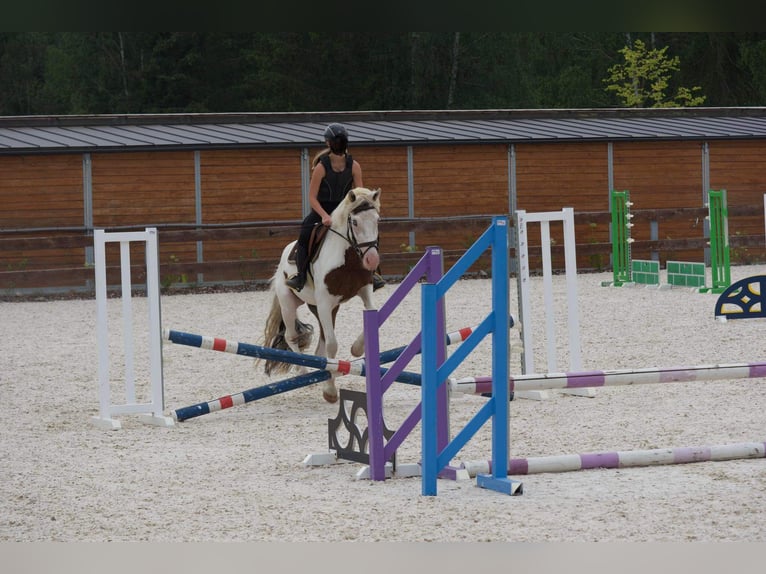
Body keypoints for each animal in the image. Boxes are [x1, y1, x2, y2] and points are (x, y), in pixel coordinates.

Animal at [262, 189, 382, 404]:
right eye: (355, 222)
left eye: (377, 220)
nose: (372, 260)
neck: (348, 259)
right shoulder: (325, 302)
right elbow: (333, 345)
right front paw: (330, 391)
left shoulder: (365, 290)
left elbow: (372, 315)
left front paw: (357, 349)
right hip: (290, 304)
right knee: (291, 337)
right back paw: (303, 371)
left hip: (322, 308)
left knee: (321, 343)